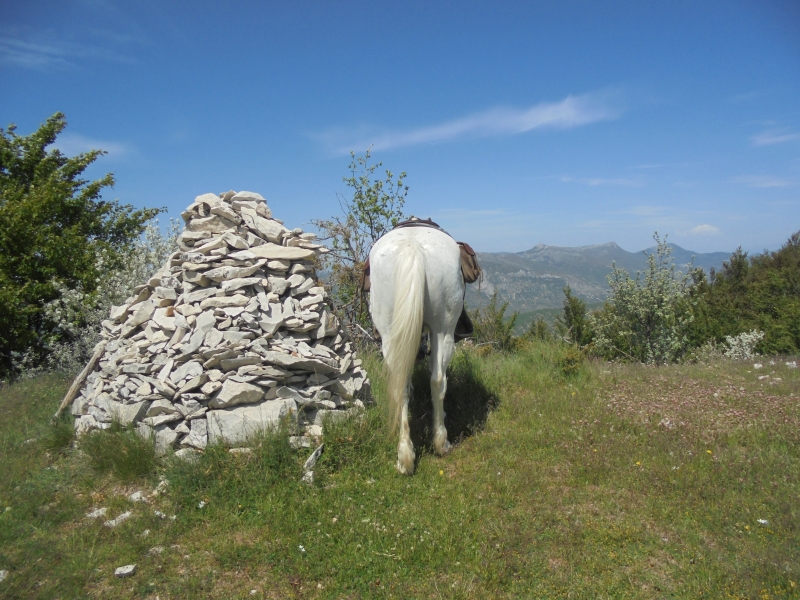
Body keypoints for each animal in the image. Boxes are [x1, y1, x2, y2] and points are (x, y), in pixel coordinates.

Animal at [368, 225, 462, 474]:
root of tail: (413, 247)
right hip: (444, 331)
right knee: (437, 380)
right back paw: (439, 442)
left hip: (392, 334)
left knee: (403, 384)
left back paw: (405, 455)